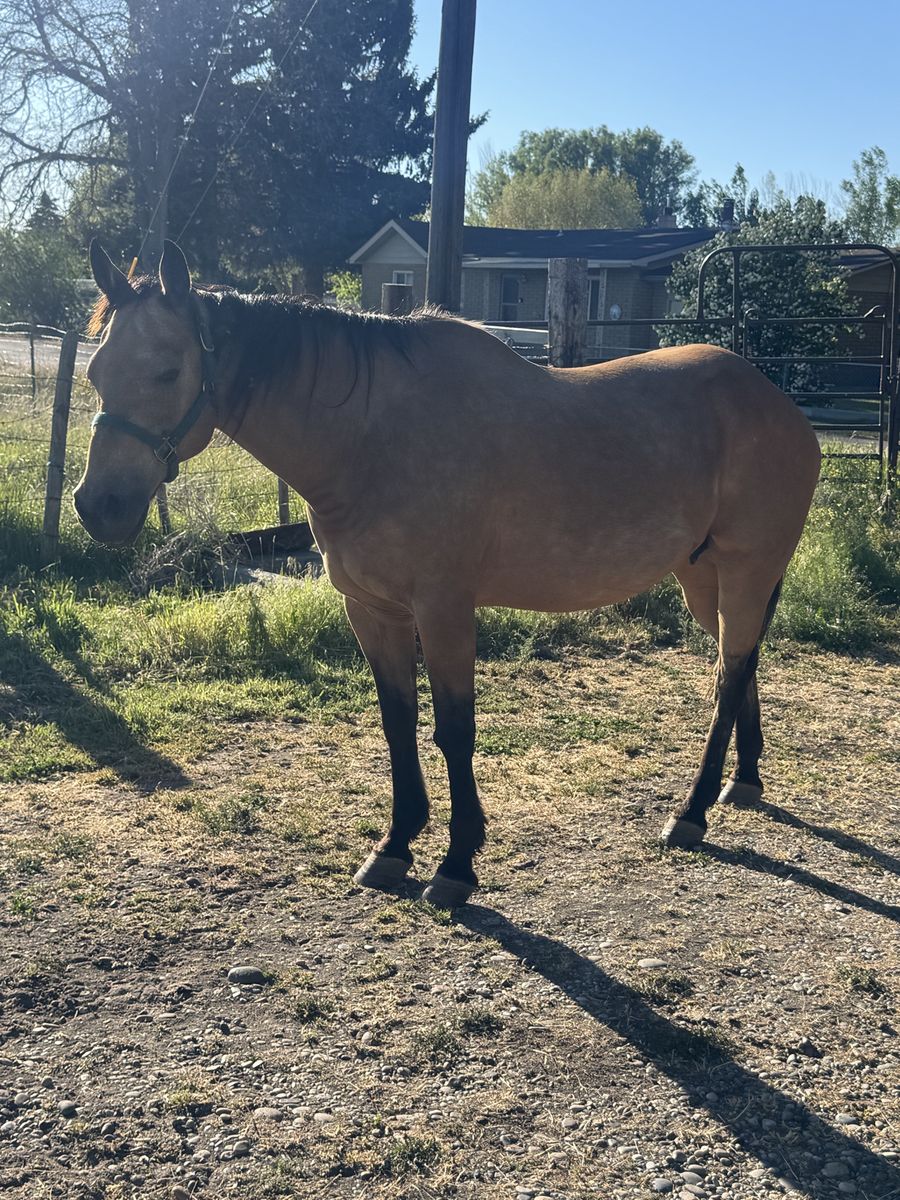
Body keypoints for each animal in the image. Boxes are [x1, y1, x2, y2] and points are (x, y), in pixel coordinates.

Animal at [74, 240, 821, 908]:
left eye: (167, 371)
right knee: (740, 666)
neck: (370, 439)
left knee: (727, 678)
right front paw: (394, 846)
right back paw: (743, 782)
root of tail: (779, 404)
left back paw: (691, 814)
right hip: (705, 580)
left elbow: (452, 731)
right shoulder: (373, 610)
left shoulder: (444, 610)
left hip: (747, 571)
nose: (97, 506)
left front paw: (457, 865)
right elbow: (397, 722)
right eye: (96, 373)